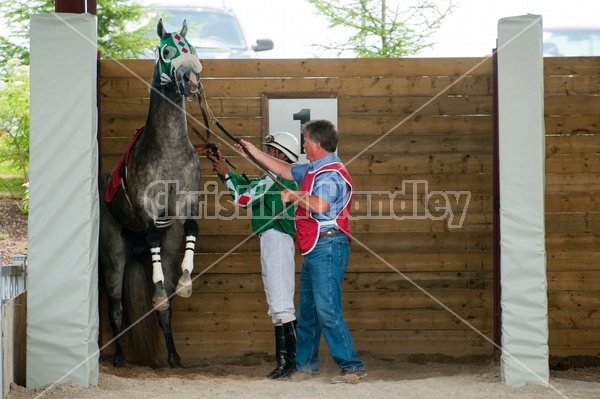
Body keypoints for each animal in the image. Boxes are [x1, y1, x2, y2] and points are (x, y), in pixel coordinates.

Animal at [98, 18, 202, 368]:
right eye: (167, 51)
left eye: (191, 48)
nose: (191, 77)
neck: (168, 148)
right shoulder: (148, 210)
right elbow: (153, 235)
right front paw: (157, 294)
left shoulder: (188, 203)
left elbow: (192, 229)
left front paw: (185, 283)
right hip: (114, 255)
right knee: (115, 308)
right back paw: (119, 357)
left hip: (164, 252)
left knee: (164, 312)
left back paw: (173, 355)